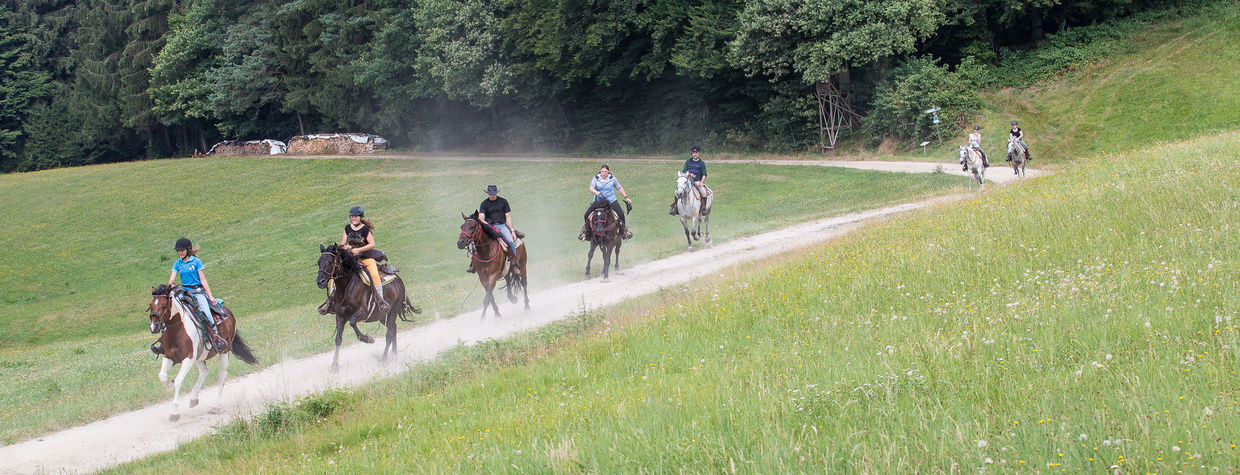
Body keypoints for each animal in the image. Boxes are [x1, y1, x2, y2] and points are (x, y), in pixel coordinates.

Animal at [146, 285, 256, 421]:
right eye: (150, 305)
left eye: (164, 305)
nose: (154, 326)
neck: (176, 330)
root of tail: (228, 312)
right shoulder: (169, 357)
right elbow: (162, 376)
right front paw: (170, 386)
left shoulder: (188, 359)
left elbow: (178, 381)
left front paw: (174, 413)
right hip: (200, 355)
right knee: (204, 371)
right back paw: (194, 398)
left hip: (224, 351)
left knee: (222, 376)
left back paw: (216, 406)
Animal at [314, 243, 421, 374]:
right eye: (319, 262)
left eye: (331, 261)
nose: (320, 281)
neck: (346, 287)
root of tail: (398, 280)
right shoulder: (340, 316)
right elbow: (338, 339)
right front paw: (334, 365)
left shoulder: (363, 312)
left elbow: (352, 323)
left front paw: (369, 338)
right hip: (382, 315)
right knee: (393, 328)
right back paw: (394, 354)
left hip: (393, 311)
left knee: (389, 333)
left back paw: (384, 359)